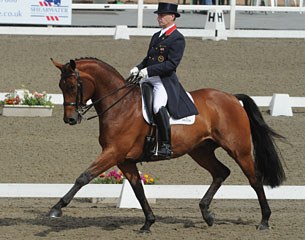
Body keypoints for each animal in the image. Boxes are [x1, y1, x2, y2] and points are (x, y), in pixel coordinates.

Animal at [48, 57, 284, 232]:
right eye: (60, 86)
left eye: (72, 86)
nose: (70, 119)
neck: (120, 106)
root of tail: (233, 98)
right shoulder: (124, 160)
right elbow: (137, 189)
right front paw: (148, 223)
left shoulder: (113, 153)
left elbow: (84, 177)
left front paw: (56, 209)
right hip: (200, 151)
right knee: (221, 172)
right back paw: (207, 214)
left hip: (239, 149)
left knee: (254, 179)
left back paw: (264, 221)